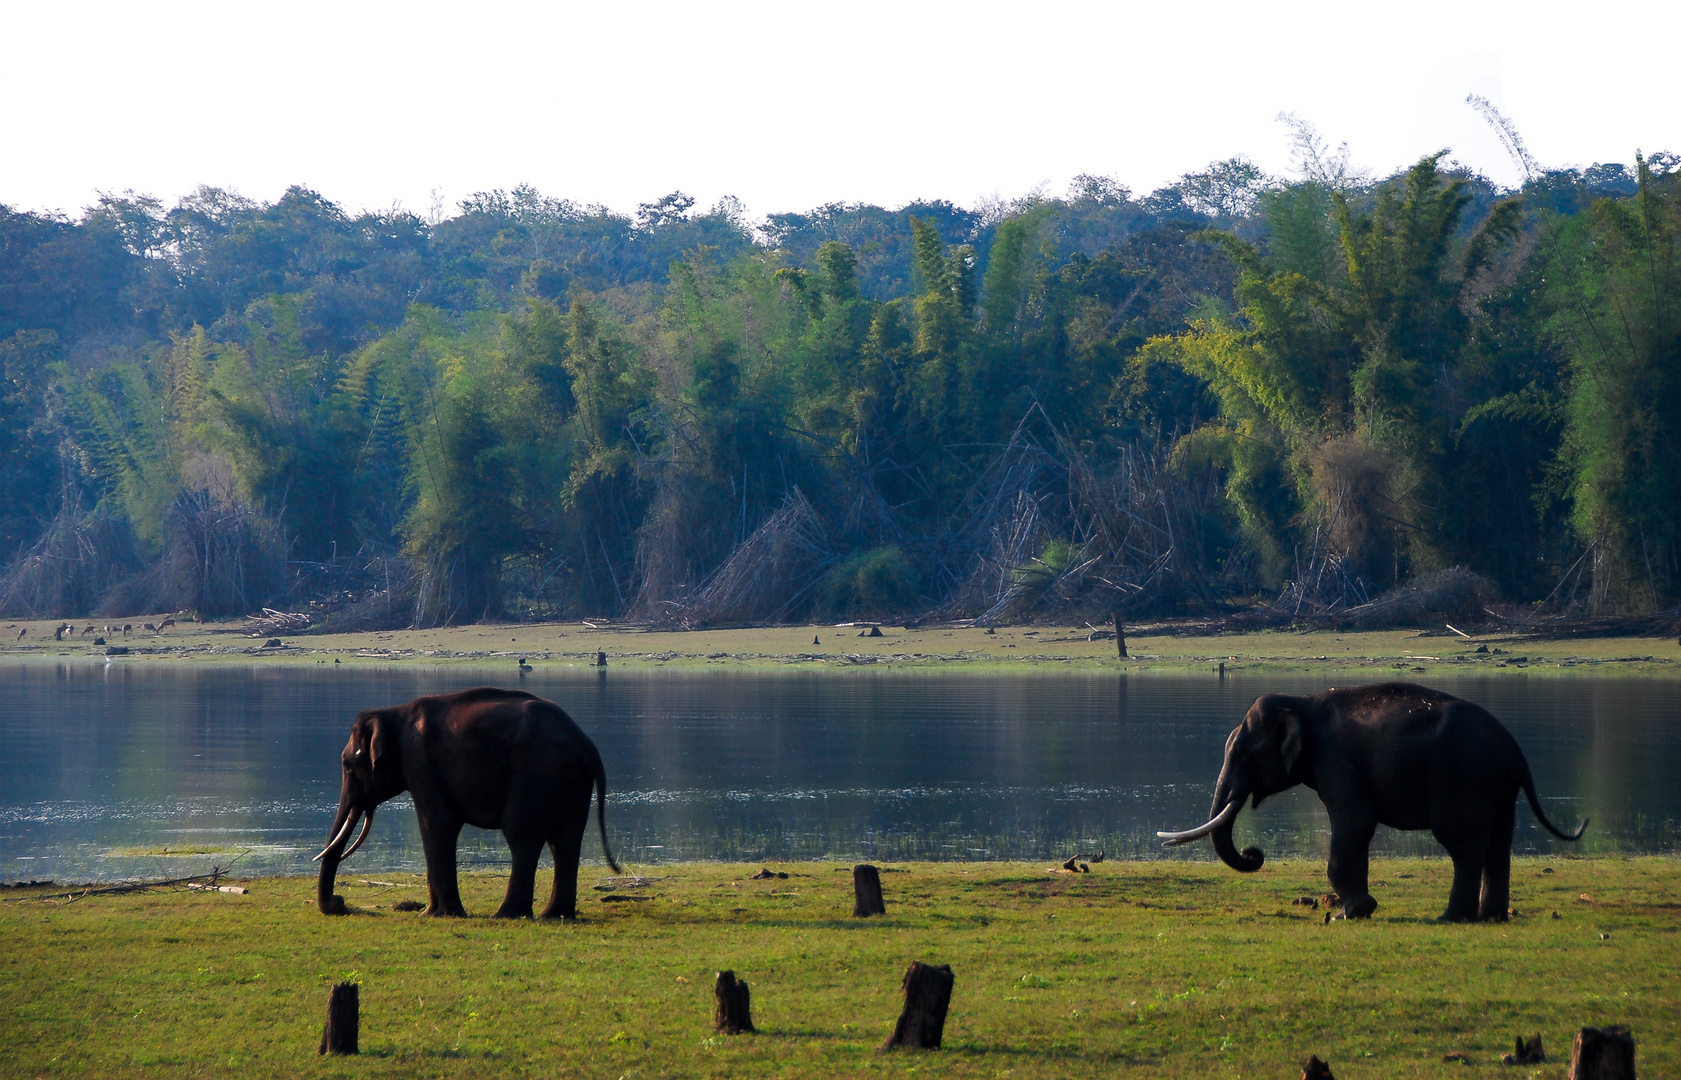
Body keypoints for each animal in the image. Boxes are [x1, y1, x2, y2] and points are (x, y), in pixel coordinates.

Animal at [312, 686, 621, 915]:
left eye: (347, 766)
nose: (339, 903)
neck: (394, 713)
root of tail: (587, 745)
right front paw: (432, 912)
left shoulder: (421, 762)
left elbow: (438, 823)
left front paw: (438, 915)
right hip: (572, 784)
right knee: (565, 840)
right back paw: (554, 915)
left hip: (539, 776)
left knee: (522, 835)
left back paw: (507, 914)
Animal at [1163, 679, 1580, 915]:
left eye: (1243, 753)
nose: (1255, 854)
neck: (1302, 701)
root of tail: (1515, 753)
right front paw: (1356, 909)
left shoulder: (1335, 760)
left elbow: (1355, 821)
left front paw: (1352, 912)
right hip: (1499, 790)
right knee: (1498, 845)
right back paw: (1491, 916)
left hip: (1464, 779)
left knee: (1464, 846)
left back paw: (1452, 917)